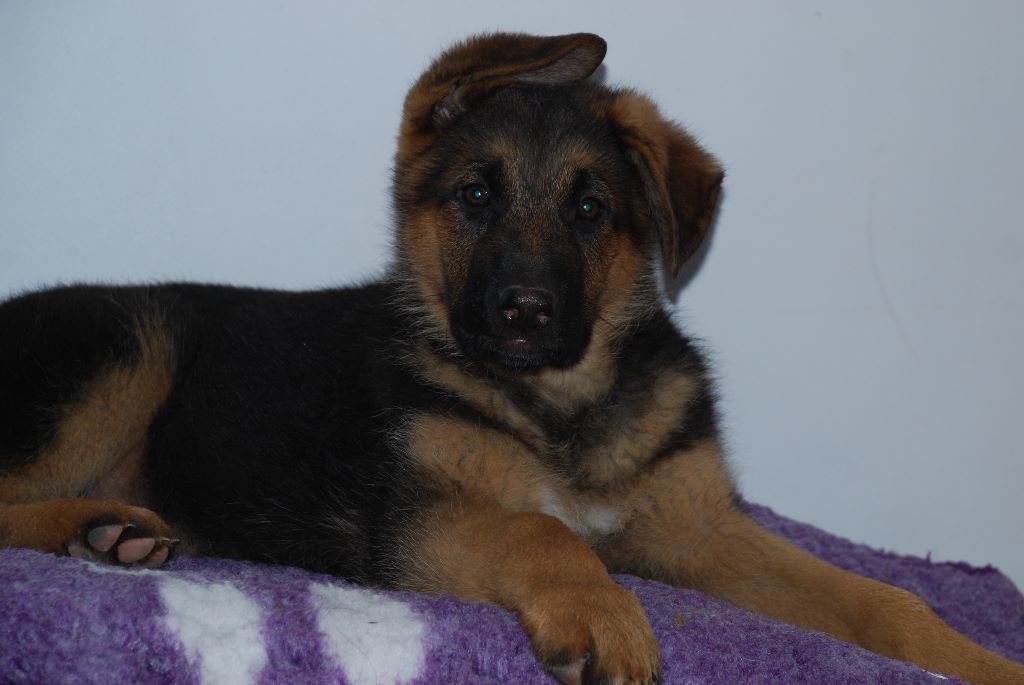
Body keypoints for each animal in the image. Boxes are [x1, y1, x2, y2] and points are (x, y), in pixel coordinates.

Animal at [1, 32, 1021, 685]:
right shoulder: (420, 518)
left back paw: (108, 532)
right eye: (476, 195)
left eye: (590, 209)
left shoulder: (697, 531)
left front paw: (982, 662)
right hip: (123, 351)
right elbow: (544, 529)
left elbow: (884, 598)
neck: (559, 401)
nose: (523, 312)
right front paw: (603, 614)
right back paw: (95, 525)